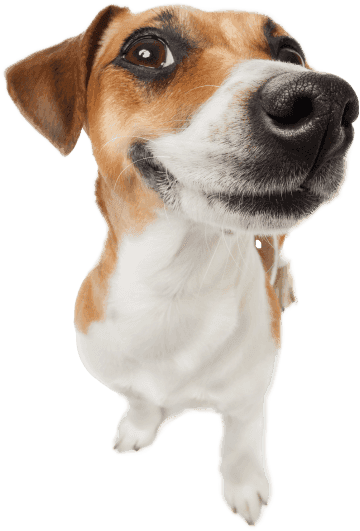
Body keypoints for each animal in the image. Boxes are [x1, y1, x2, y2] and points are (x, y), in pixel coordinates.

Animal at [2, 2, 358, 528]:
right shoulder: (122, 373)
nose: (326, 104)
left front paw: (245, 487)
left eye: (289, 53)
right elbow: (140, 398)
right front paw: (137, 427)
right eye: (146, 52)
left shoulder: (250, 396)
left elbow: (240, 441)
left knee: (279, 252)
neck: (176, 285)